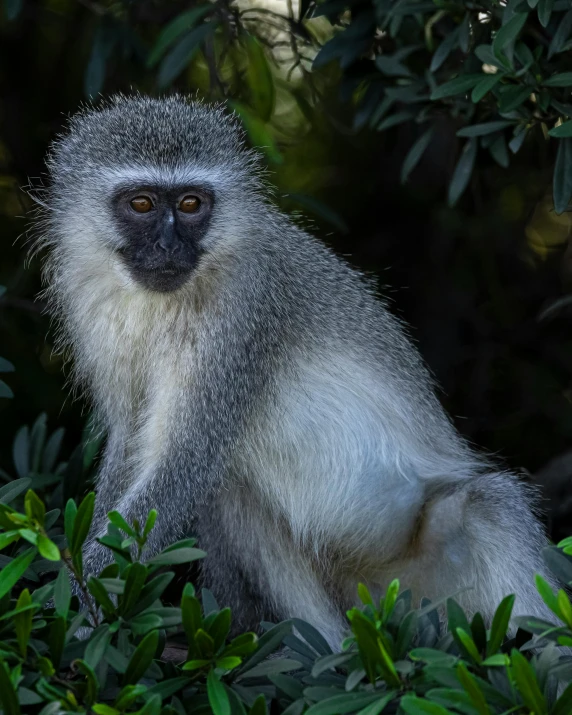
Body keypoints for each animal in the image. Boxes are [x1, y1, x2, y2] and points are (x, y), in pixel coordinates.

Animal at [34, 95, 556, 648]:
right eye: (141, 205)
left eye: (192, 204)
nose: (168, 249)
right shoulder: (91, 302)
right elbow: (134, 440)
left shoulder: (244, 312)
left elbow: (185, 457)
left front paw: (72, 604)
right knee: (234, 497)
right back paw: (326, 651)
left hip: (438, 586)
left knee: (489, 504)